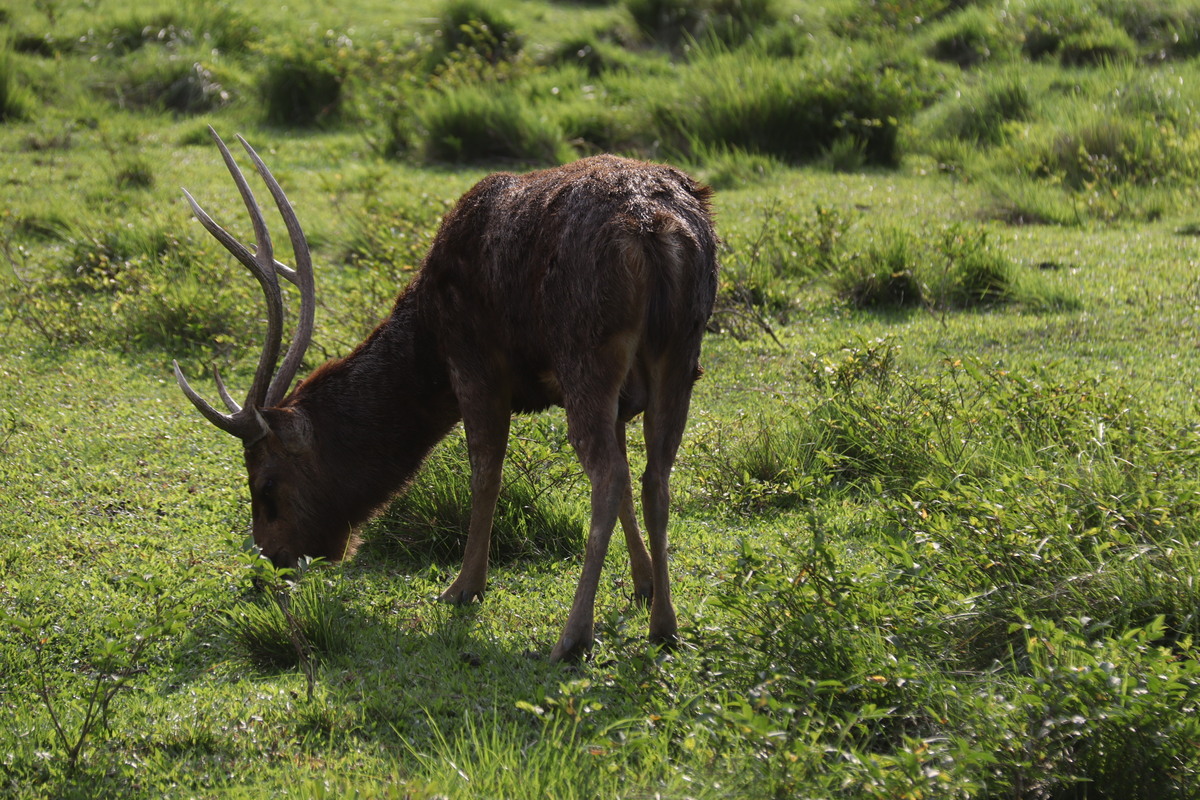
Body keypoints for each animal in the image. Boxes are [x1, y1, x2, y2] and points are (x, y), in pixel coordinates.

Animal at [174, 128, 718, 662]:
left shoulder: (474, 364)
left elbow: (486, 475)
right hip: (681, 354)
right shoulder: (623, 400)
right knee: (653, 479)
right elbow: (626, 484)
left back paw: (572, 637)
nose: (267, 565)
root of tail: (655, 232)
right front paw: (644, 584)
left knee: (607, 477)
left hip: (586, 351)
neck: (428, 343)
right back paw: (665, 626)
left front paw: (464, 587)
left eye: (266, 485)